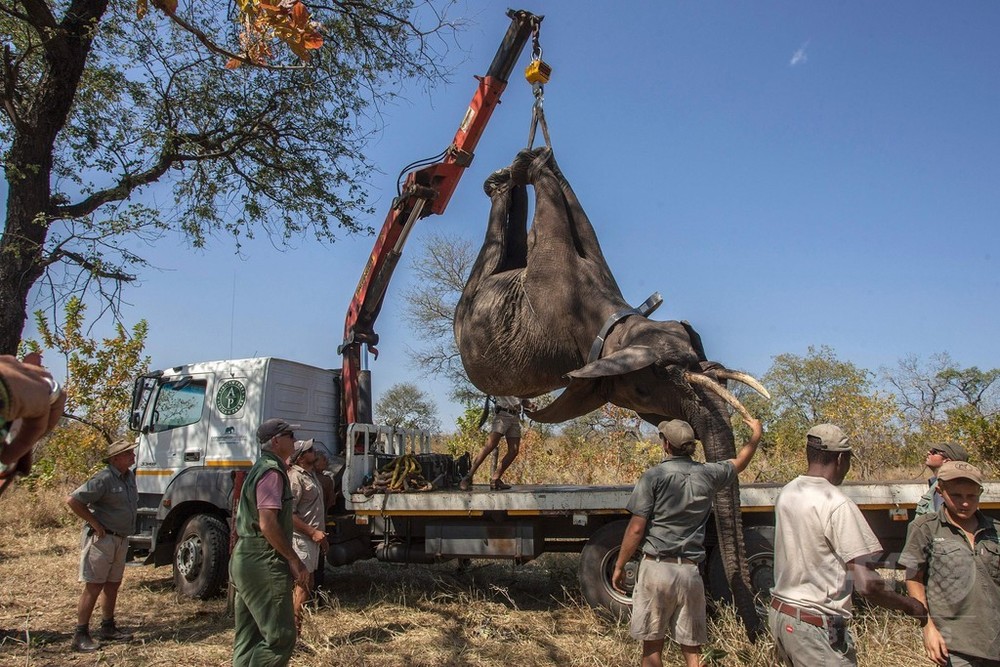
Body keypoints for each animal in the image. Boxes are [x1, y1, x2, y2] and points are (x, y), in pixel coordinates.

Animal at [458, 146, 768, 636]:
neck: (615, 323)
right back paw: (503, 179)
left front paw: (535, 161)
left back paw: (503, 179)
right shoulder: (555, 291)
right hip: (472, 300)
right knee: (493, 251)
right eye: (667, 374)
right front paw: (534, 161)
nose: (753, 627)